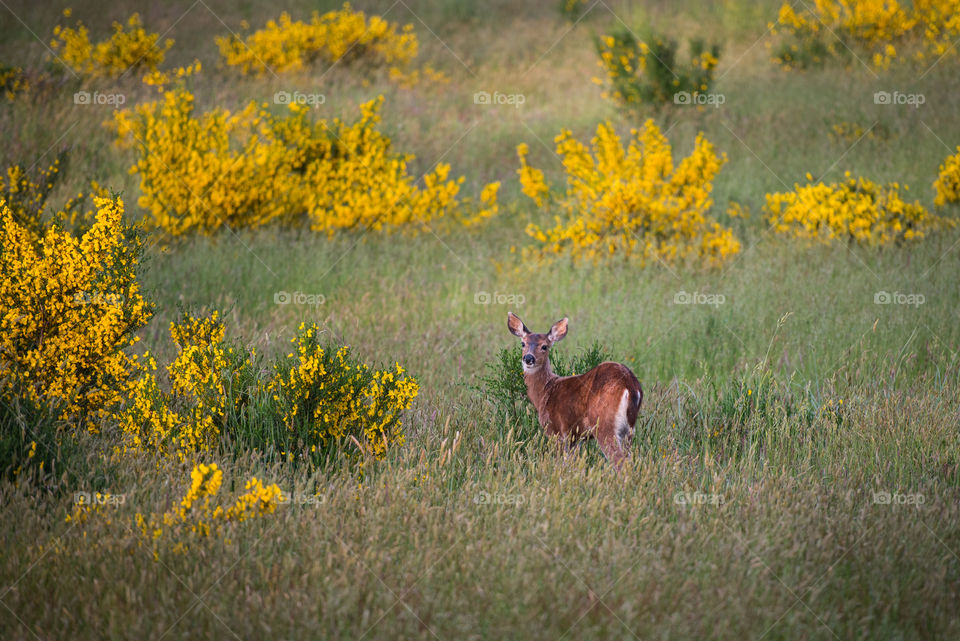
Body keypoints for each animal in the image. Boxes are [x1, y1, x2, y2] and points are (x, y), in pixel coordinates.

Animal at [506, 312, 640, 468]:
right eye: (523, 343)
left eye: (544, 346)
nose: (528, 358)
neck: (545, 391)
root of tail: (630, 385)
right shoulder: (575, 437)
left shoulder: (555, 430)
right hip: (629, 431)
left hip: (605, 424)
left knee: (620, 462)